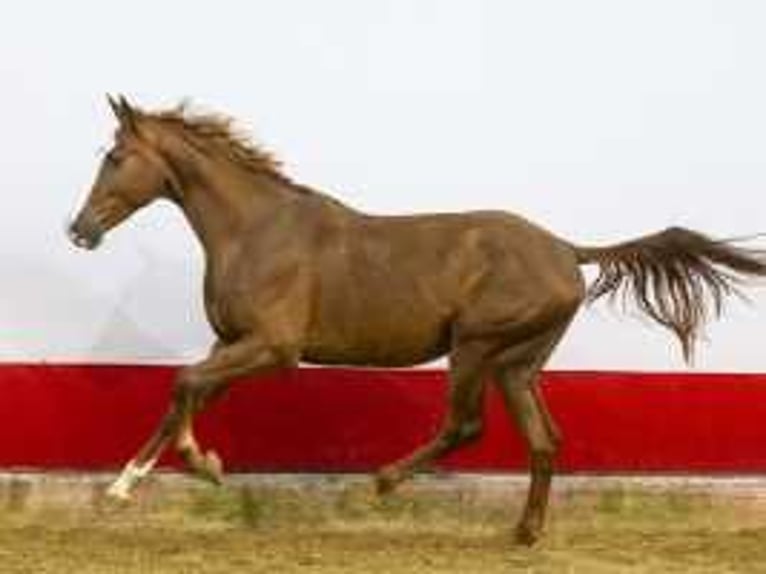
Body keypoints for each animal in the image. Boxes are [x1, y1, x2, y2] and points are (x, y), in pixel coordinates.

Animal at [67, 97, 766, 548]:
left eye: (116, 156)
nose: (80, 230)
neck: (256, 230)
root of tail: (569, 250)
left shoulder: (273, 346)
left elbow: (185, 383)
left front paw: (192, 469)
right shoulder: (233, 341)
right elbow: (185, 394)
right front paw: (132, 485)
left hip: (475, 345)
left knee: (466, 424)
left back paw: (381, 482)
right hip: (518, 363)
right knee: (544, 440)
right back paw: (523, 534)